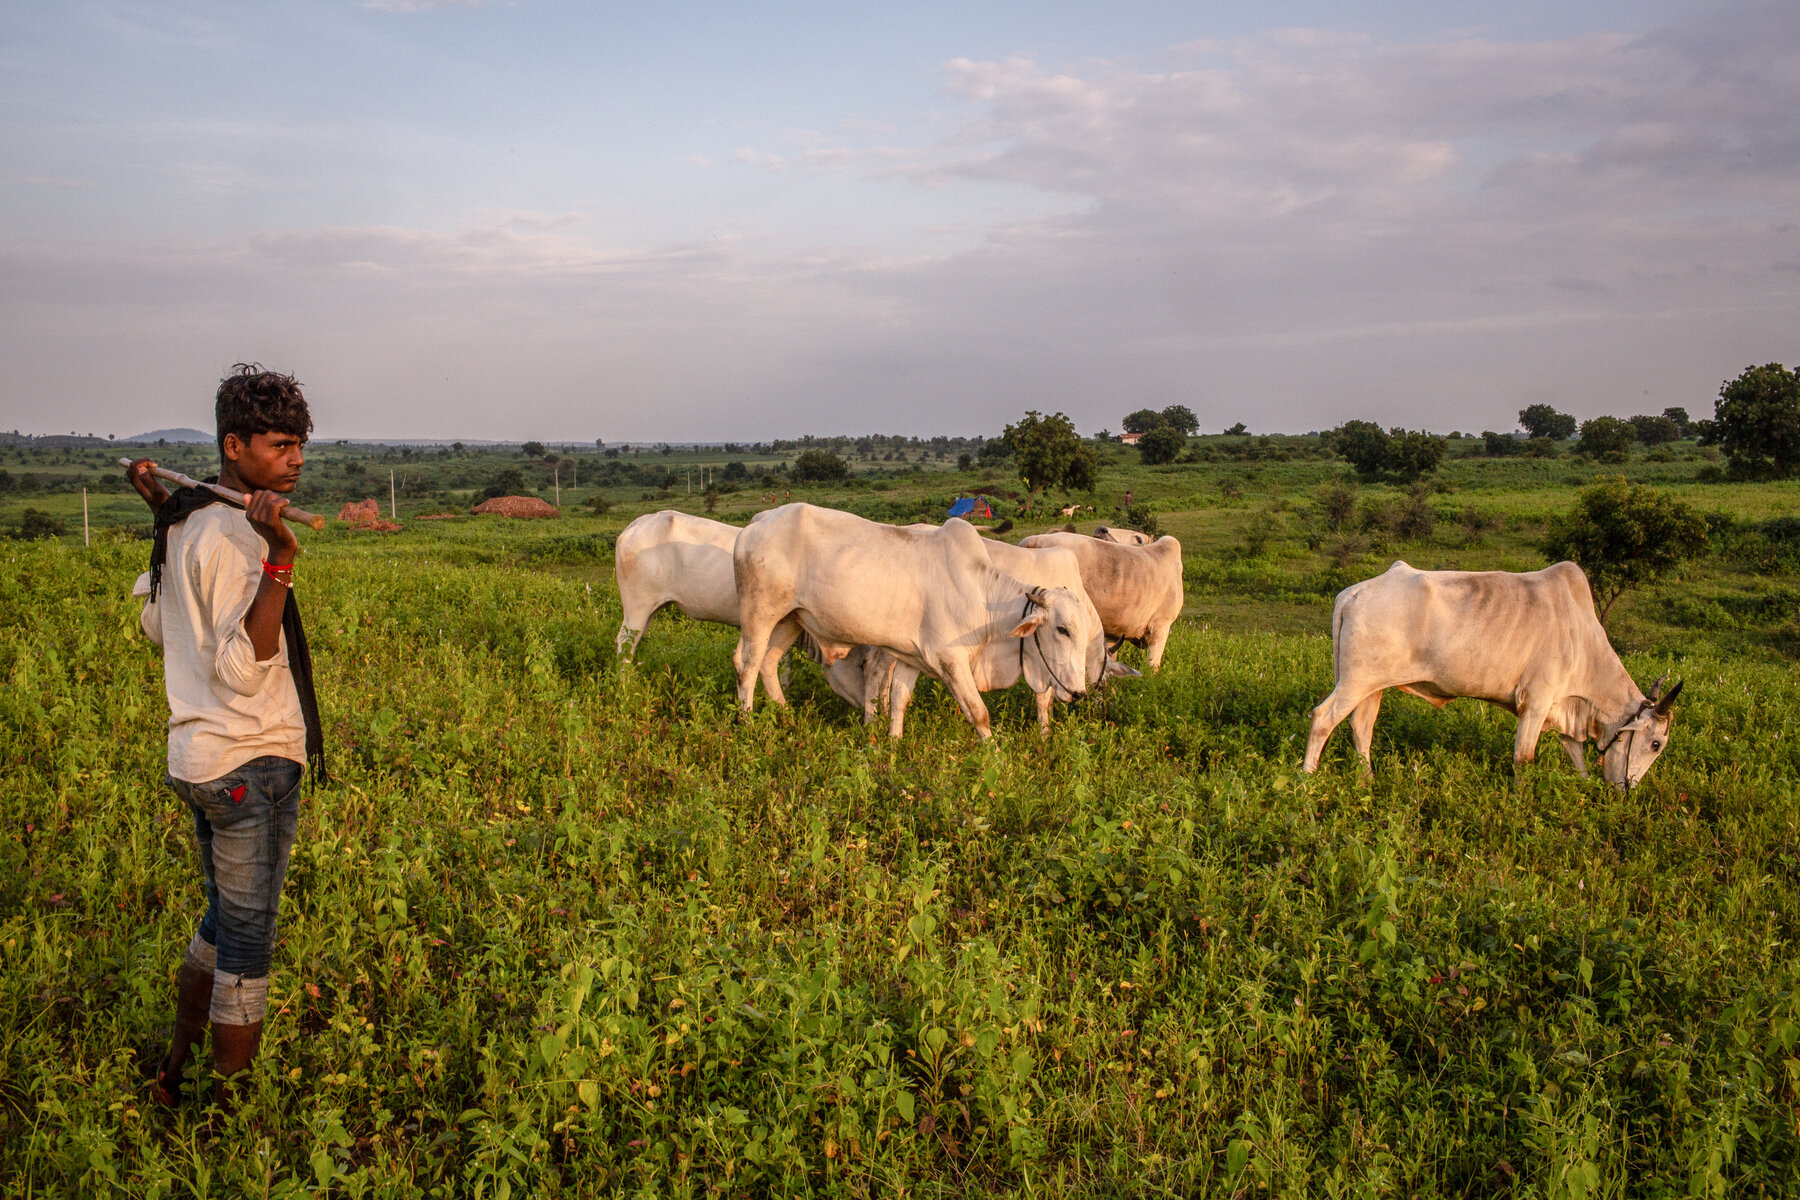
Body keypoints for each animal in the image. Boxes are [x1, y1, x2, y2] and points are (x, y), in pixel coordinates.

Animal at [730, 503, 1094, 737]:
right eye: (1062, 629)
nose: (1078, 692)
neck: (983, 596)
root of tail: (757, 522)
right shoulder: (951, 661)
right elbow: (979, 713)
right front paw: (994, 758)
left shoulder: (911, 657)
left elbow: (898, 702)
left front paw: (891, 743)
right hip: (759, 612)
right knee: (747, 664)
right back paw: (748, 725)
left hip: (790, 618)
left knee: (769, 663)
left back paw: (786, 716)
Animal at [1303, 564, 1677, 788]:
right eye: (1656, 744)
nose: (1627, 790)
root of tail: (1353, 593)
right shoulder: (1536, 702)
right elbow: (1524, 759)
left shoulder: (1564, 709)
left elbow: (1577, 756)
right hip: (1355, 682)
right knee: (1322, 718)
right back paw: (1306, 781)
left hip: (1373, 686)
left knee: (1361, 727)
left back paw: (1367, 780)